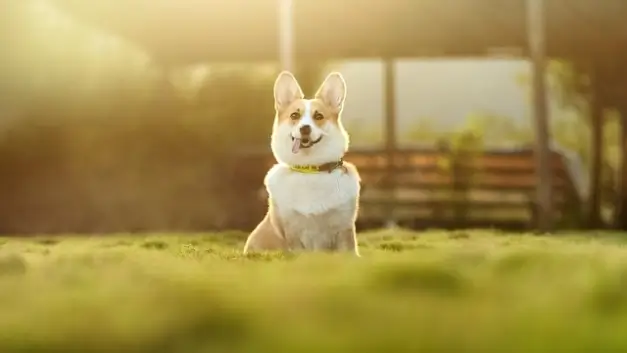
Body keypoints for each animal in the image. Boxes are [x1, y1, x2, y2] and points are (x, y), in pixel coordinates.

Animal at [245, 70, 364, 256]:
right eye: (295, 115)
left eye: (318, 116)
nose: (305, 128)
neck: (311, 169)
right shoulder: (293, 232)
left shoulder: (343, 229)